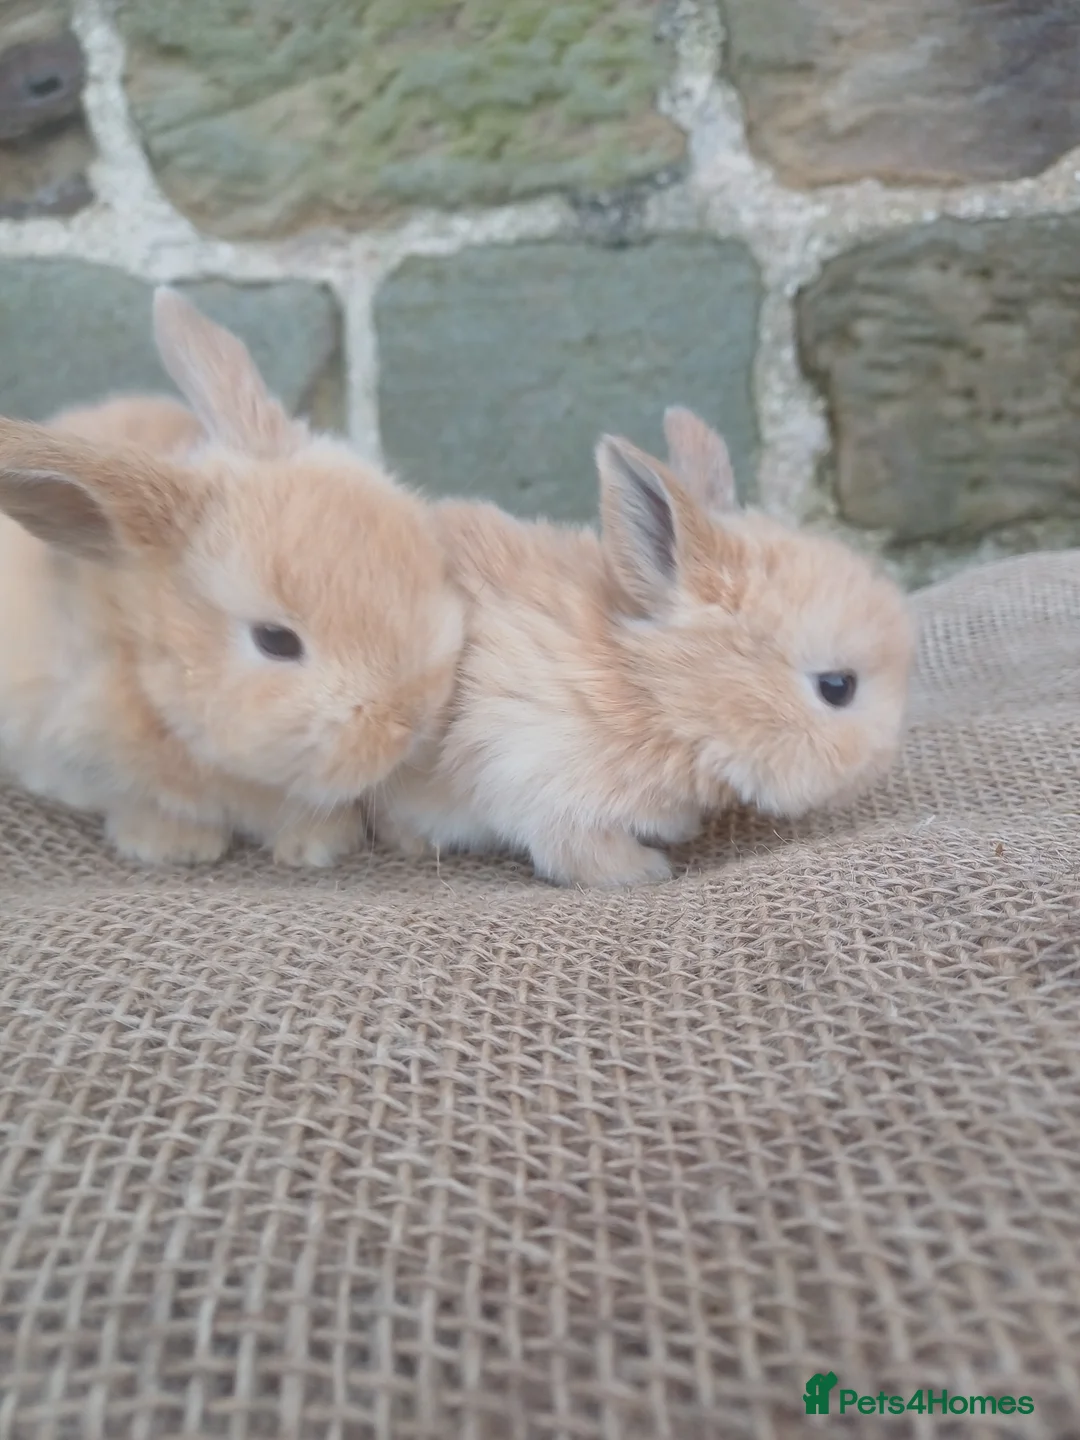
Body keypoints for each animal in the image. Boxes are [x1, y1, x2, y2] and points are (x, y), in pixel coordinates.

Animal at [368, 407, 915, 888]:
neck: (651, 691)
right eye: (837, 687)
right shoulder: (541, 784)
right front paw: (647, 871)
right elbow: (579, 853)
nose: (880, 765)